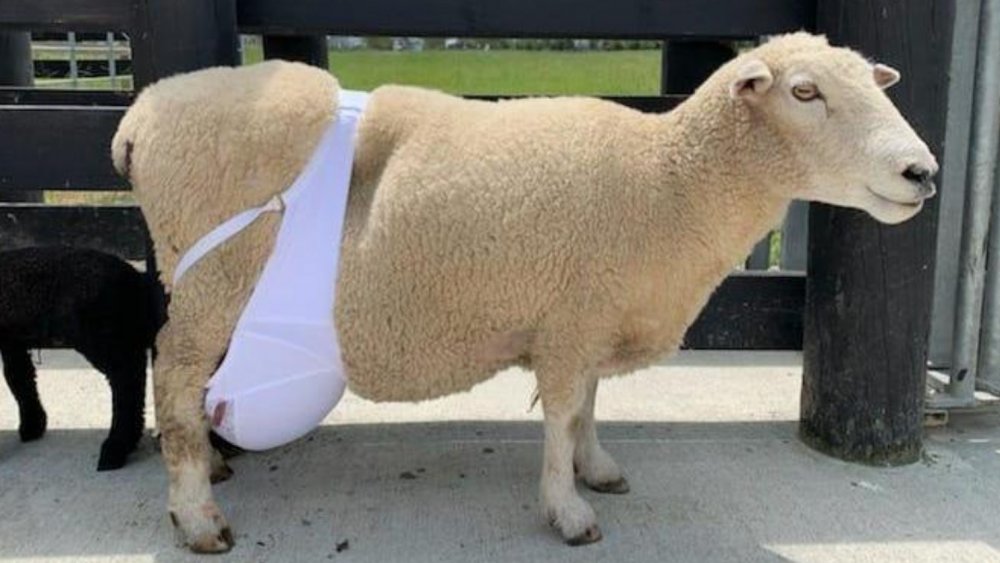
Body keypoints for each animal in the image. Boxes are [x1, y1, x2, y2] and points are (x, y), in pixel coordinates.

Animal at [0, 246, 162, 470]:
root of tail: (136, 279)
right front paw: (33, 426)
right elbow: (20, 378)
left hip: (99, 334)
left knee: (126, 378)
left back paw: (114, 449)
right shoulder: (12, 342)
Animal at [111, 32, 938, 552]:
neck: (669, 181)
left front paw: (597, 469)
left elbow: (592, 408)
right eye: (804, 91)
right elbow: (563, 416)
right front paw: (568, 510)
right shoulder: (571, 321)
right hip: (212, 278)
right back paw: (198, 514)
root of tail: (141, 111)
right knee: (174, 378)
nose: (923, 172)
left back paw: (210, 467)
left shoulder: (592, 314)